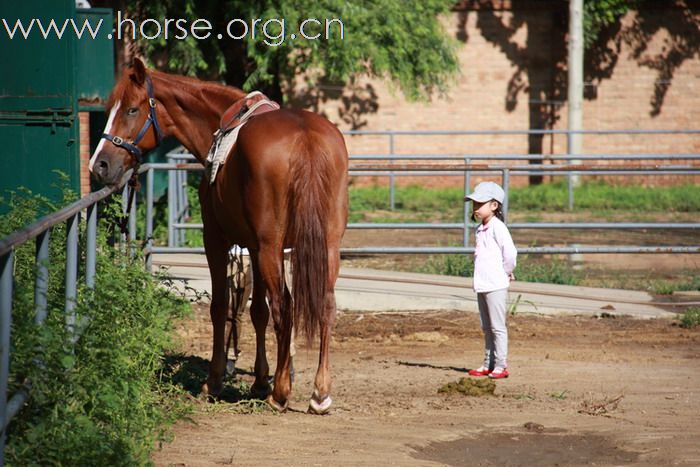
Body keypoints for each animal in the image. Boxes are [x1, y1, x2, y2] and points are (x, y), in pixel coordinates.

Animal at [89, 58, 348, 414]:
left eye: (131, 109)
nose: (99, 164)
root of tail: (305, 136)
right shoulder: (254, 247)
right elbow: (257, 312)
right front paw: (259, 380)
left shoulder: (216, 240)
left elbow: (221, 306)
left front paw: (214, 381)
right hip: (325, 247)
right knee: (324, 305)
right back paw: (319, 393)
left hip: (272, 248)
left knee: (285, 307)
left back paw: (281, 393)